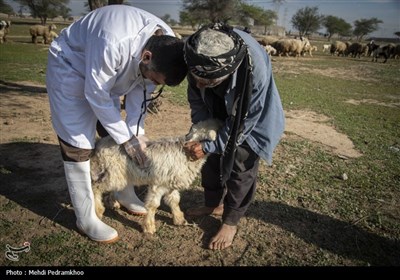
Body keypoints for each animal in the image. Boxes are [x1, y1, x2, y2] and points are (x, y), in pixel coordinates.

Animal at [90, 118, 222, 234]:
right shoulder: (158, 183)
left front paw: (179, 219)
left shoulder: (170, 183)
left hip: (116, 173)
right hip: (114, 173)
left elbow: (174, 200)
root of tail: (99, 143)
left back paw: (112, 202)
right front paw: (149, 227)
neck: (185, 153)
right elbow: (153, 205)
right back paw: (98, 210)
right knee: (95, 187)